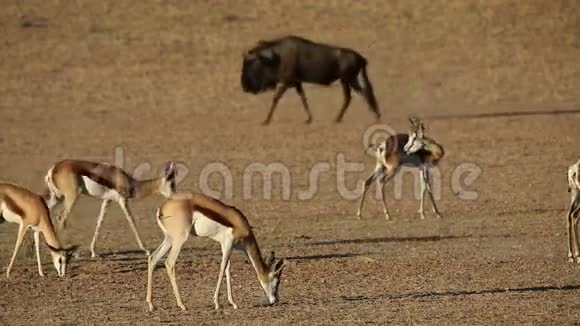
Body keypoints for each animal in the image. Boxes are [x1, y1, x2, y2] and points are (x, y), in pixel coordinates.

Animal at [44, 160, 177, 258]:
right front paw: (146, 250)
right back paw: (70, 253)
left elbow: (99, 222)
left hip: (56, 197)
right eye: (172, 184)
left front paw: (94, 252)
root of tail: (53, 169)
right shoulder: (122, 200)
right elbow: (131, 221)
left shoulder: (107, 200)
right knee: (61, 219)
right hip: (72, 197)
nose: (175, 197)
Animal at [147, 192, 286, 312]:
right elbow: (222, 268)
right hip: (180, 239)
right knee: (169, 263)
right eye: (277, 281)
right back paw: (182, 305)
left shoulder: (225, 245)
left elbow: (228, 269)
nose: (275, 300)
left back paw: (151, 305)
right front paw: (217, 303)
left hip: (170, 239)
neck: (240, 223)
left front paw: (233, 303)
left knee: (153, 258)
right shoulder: (228, 242)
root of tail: (163, 207)